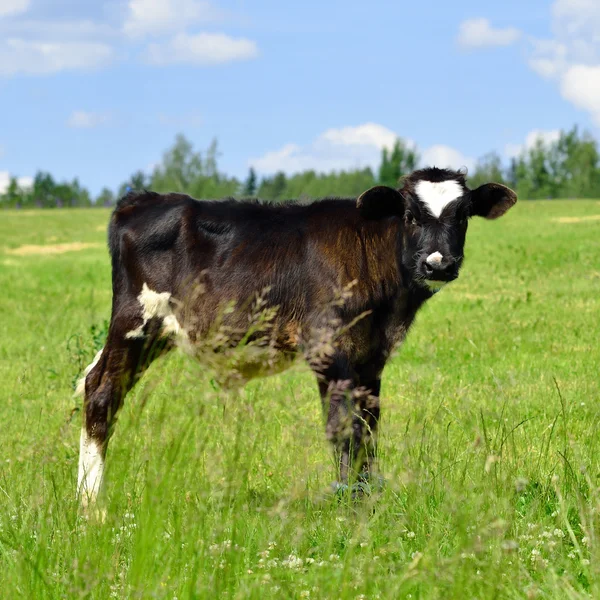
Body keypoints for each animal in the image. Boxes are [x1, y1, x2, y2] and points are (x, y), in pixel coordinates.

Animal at [75, 168, 516, 506]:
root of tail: (141, 200)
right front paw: (350, 507)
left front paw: (368, 499)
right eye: (409, 215)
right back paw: (92, 506)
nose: (438, 263)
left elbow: (369, 429)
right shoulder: (327, 349)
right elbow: (344, 430)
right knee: (101, 391)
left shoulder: (370, 358)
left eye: (463, 215)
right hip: (135, 322)